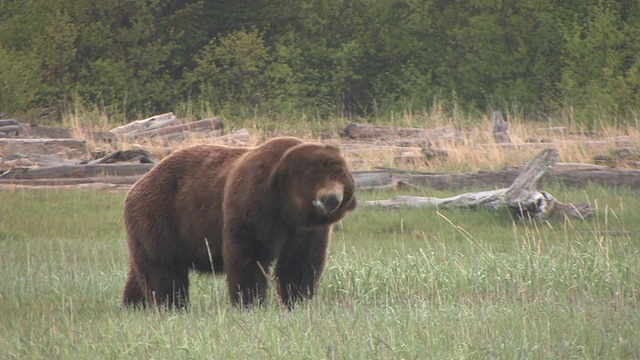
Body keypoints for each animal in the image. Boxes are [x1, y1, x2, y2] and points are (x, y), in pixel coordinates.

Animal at [122, 136, 358, 308]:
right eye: (317, 175)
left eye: (340, 174)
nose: (331, 199)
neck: (286, 208)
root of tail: (137, 184)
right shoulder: (253, 205)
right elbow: (248, 256)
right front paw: (250, 301)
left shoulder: (306, 230)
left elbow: (300, 262)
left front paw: (298, 300)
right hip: (162, 216)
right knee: (164, 268)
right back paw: (170, 304)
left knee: (143, 269)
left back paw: (134, 304)